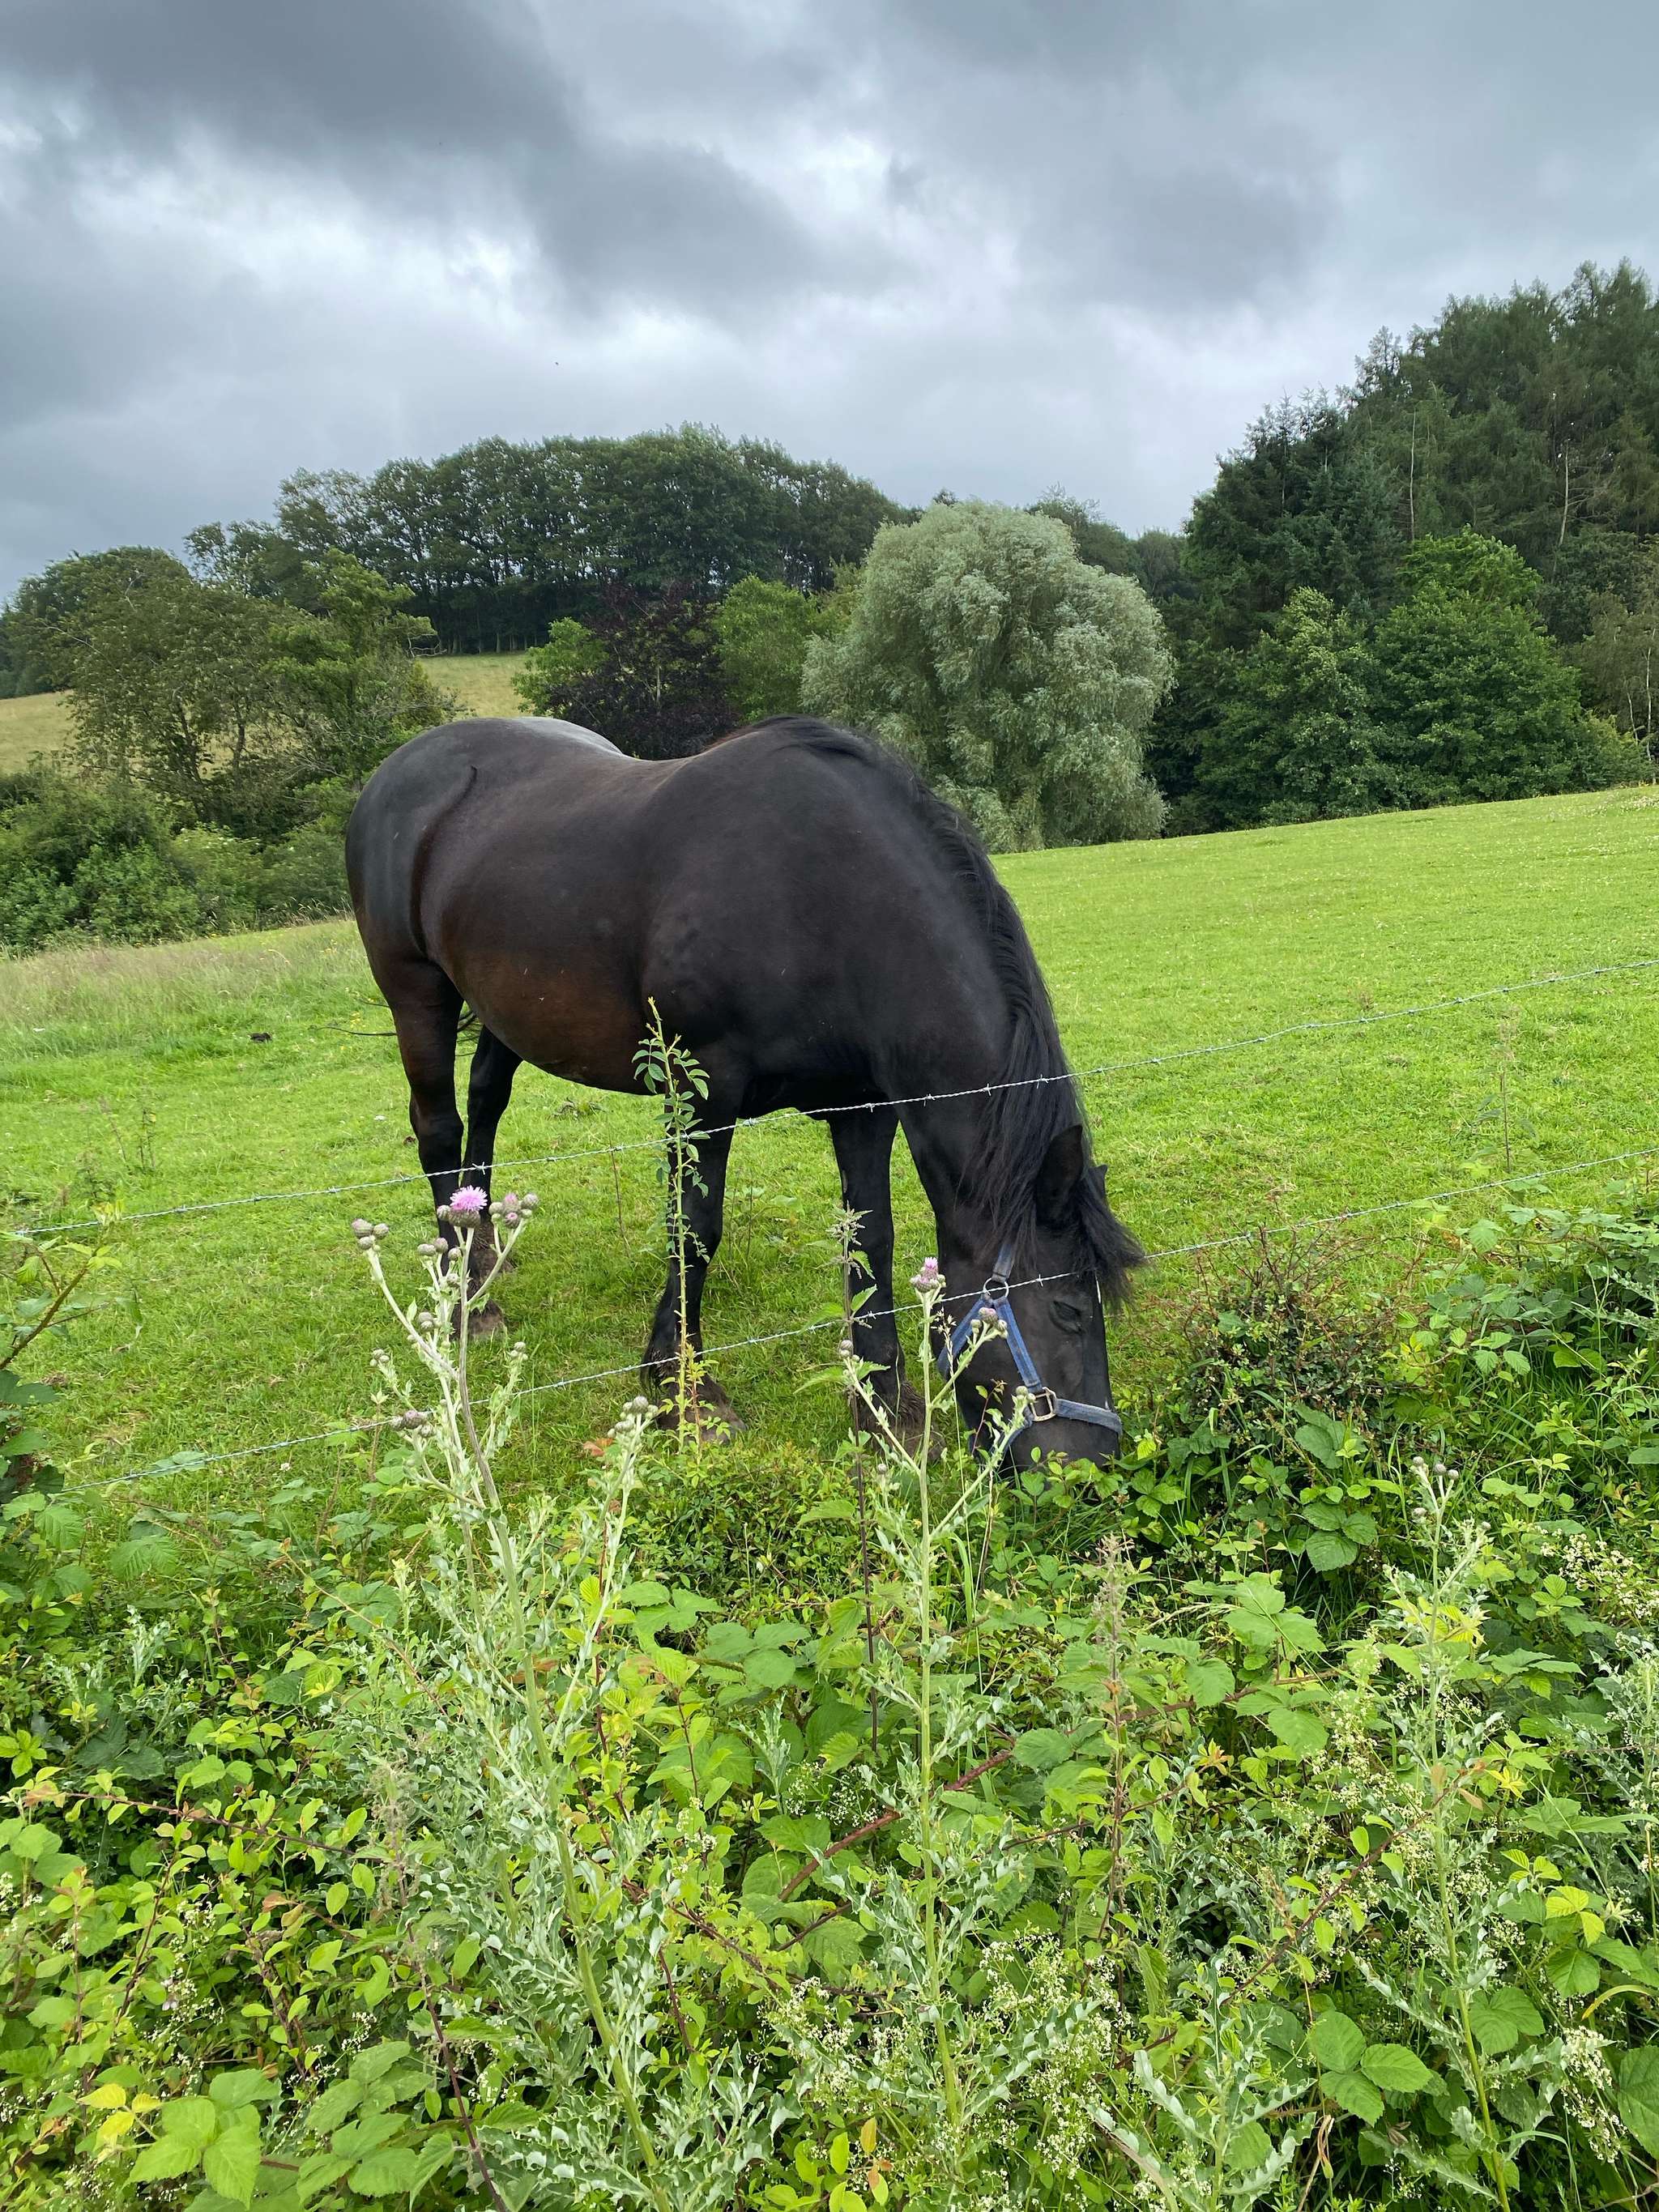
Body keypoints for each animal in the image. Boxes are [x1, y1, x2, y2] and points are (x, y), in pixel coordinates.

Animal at [345, 714, 1141, 1469]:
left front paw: (883, 1407)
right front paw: (683, 1389)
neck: (825, 894)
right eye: (1070, 1309)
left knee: (486, 1100)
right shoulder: (702, 1087)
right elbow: (696, 1228)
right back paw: (463, 1300)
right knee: (439, 1126)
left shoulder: (862, 1107)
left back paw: (480, 1254)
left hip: (504, 1006)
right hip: (417, 991)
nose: (1094, 1467)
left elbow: (870, 1239)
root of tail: (396, 774)